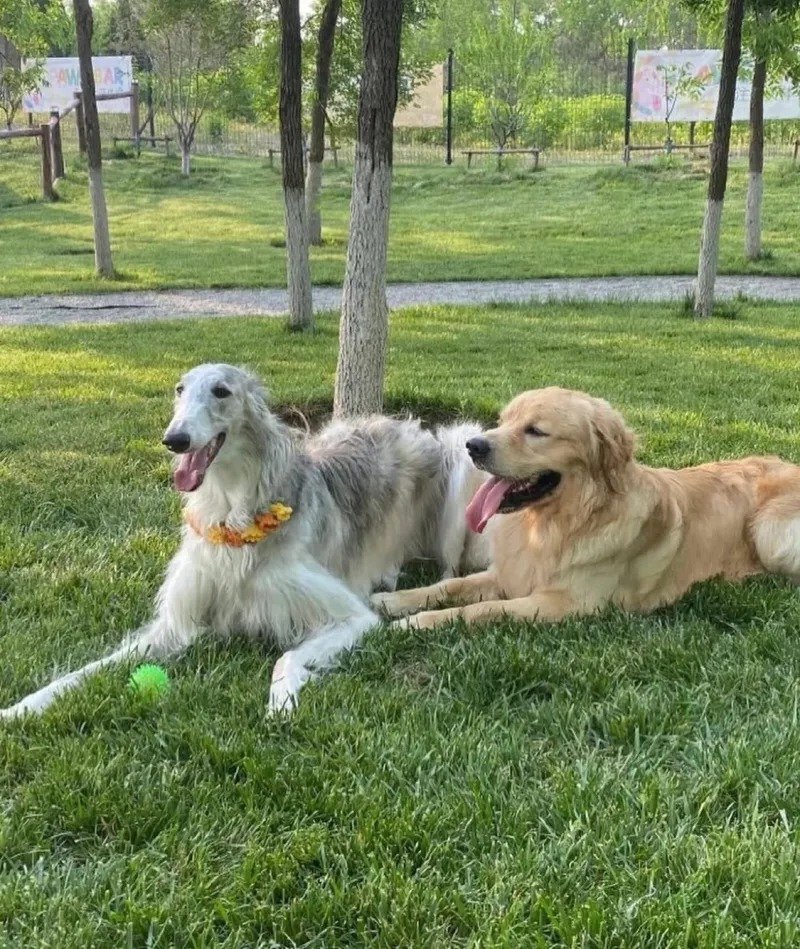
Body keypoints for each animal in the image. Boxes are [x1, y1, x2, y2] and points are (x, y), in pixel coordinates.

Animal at [1, 362, 488, 720]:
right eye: (179, 389)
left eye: (222, 391)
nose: (174, 439)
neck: (232, 517)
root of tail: (407, 424)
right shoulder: (176, 623)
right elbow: (89, 667)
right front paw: (24, 706)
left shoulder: (351, 616)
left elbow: (286, 657)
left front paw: (282, 703)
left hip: (460, 452)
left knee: (450, 567)